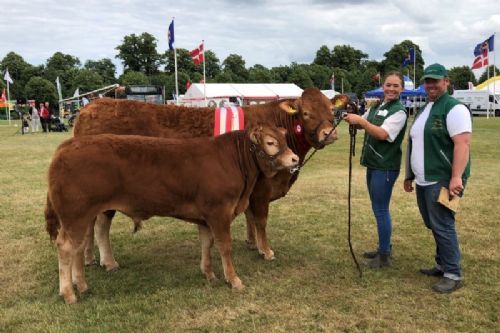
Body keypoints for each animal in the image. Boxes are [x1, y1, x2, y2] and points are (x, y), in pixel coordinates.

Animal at [46, 126, 296, 302]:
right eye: (271, 142)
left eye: (285, 139)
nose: (294, 159)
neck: (232, 161)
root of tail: (67, 146)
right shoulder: (219, 213)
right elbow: (224, 246)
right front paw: (233, 279)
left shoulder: (205, 217)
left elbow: (206, 244)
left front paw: (209, 274)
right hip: (75, 216)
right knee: (66, 248)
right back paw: (69, 293)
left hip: (81, 217)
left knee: (78, 248)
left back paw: (81, 285)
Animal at [75, 88, 348, 270]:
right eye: (306, 113)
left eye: (331, 110)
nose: (329, 134)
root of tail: (91, 107)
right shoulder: (262, 188)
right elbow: (260, 219)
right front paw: (266, 250)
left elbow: (250, 218)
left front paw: (252, 243)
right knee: (100, 225)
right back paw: (108, 261)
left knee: (90, 225)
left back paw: (89, 258)